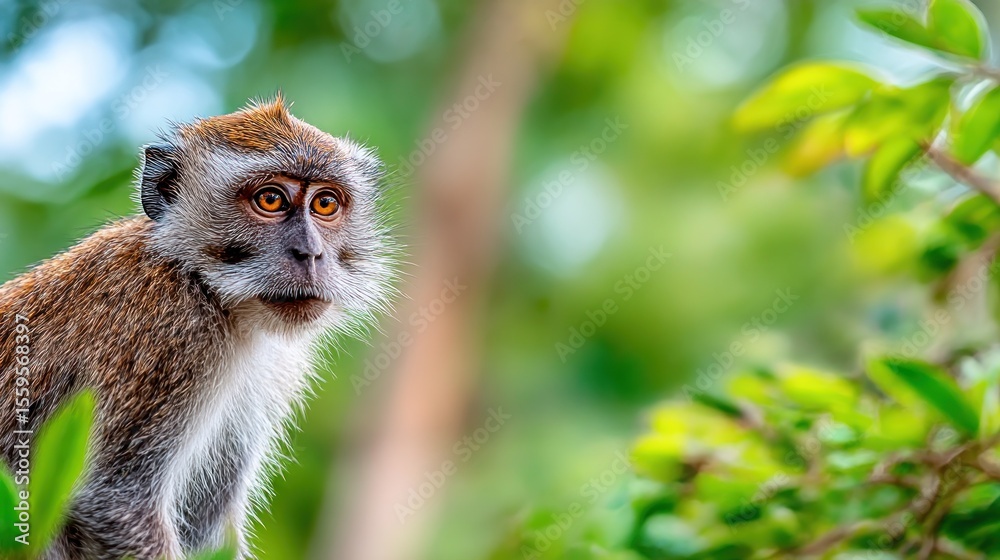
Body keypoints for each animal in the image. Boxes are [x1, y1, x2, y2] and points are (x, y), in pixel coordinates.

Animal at [0, 95, 396, 559]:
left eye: (325, 204)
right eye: (270, 199)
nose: (311, 253)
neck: (205, 286)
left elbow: (207, 528)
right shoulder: (170, 334)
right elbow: (114, 500)